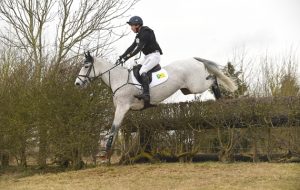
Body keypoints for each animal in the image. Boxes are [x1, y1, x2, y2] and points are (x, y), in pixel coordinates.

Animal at [75, 51, 237, 162]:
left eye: (86, 66)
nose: (77, 83)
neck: (118, 79)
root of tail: (194, 59)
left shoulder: (122, 107)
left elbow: (114, 128)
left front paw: (105, 153)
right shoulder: (124, 110)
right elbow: (120, 129)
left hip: (196, 85)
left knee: (213, 79)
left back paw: (220, 98)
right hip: (188, 89)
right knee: (211, 78)